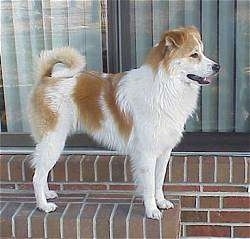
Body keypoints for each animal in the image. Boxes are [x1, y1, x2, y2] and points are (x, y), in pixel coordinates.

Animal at [29, 26, 219, 220]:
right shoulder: (147, 154)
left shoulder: (164, 151)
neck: (164, 86)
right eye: (194, 55)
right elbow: (149, 185)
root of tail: (47, 77)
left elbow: (158, 181)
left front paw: (161, 202)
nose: (217, 67)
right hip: (54, 140)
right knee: (37, 176)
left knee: (42, 171)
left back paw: (47, 194)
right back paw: (43, 205)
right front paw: (152, 210)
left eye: (202, 52)